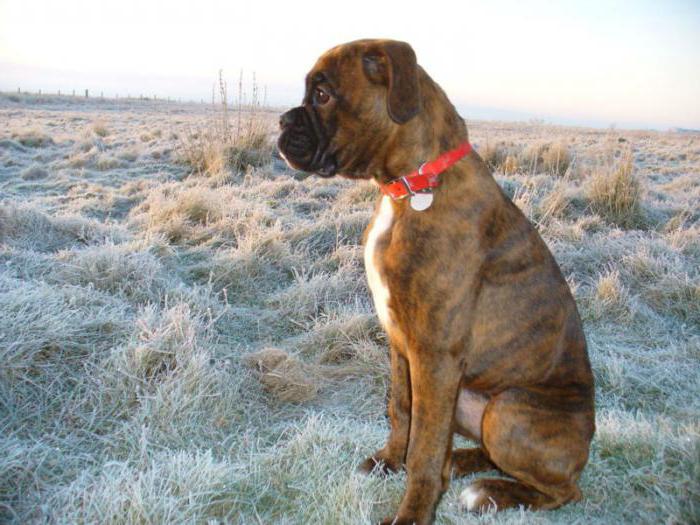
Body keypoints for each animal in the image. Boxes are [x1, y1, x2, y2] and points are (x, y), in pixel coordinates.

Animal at [276, 37, 592, 524]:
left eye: (323, 95)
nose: (281, 120)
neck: (411, 187)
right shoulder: (402, 345)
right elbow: (402, 411)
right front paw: (390, 461)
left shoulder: (435, 355)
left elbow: (424, 449)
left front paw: (412, 513)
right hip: (466, 401)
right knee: (480, 449)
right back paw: (462, 462)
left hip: (509, 409)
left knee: (562, 490)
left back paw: (489, 493)